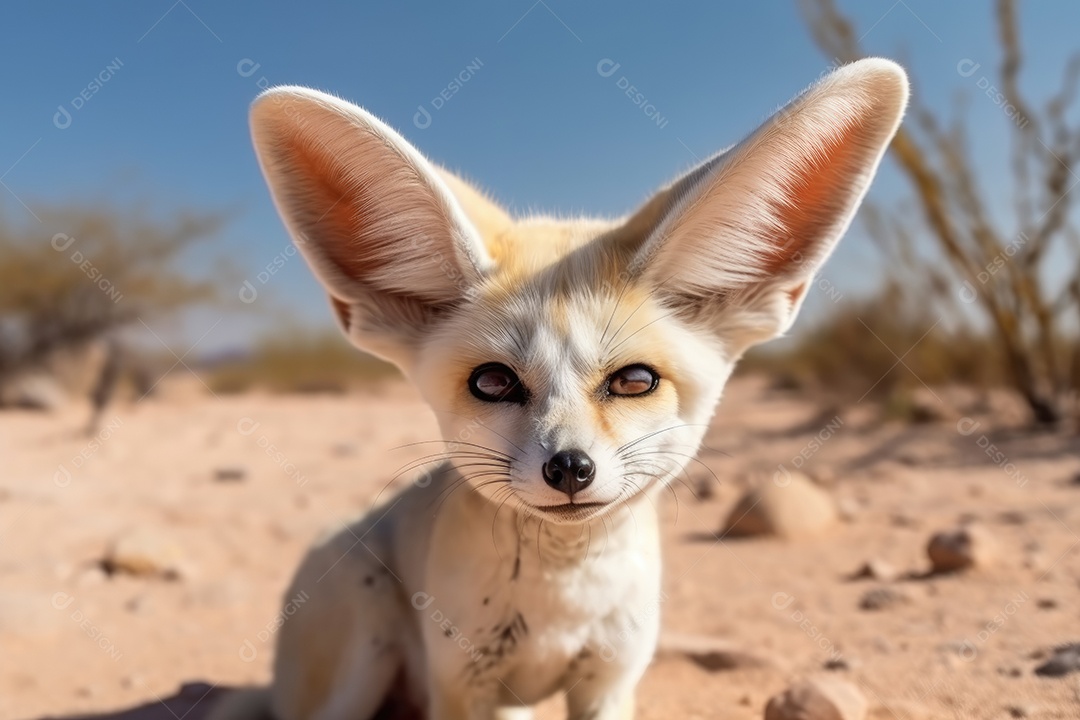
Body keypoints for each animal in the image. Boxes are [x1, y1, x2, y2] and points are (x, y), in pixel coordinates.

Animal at [214, 58, 908, 720]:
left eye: (634, 381)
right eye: (493, 382)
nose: (569, 468)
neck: (560, 602)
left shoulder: (608, 680)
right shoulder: (462, 687)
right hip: (361, 661)